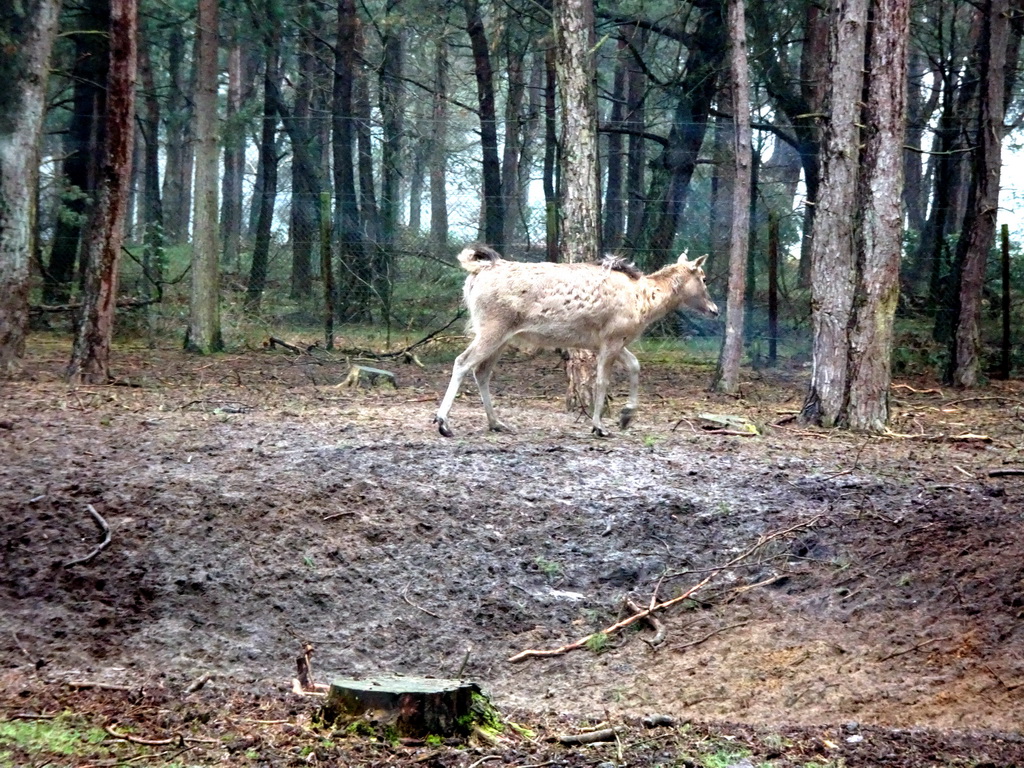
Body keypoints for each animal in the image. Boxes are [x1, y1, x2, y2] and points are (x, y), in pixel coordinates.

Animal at [434, 246, 720, 438]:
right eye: (704, 277)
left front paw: (626, 417)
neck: (645, 304)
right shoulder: (612, 337)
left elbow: (635, 365)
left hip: (503, 336)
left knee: (482, 371)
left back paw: (497, 423)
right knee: (462, 362)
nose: (715, 310)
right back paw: (443, 422)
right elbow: (602, 381)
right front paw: (600, 426)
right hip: (491, 326)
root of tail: (475, 271)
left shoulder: (610, 341)